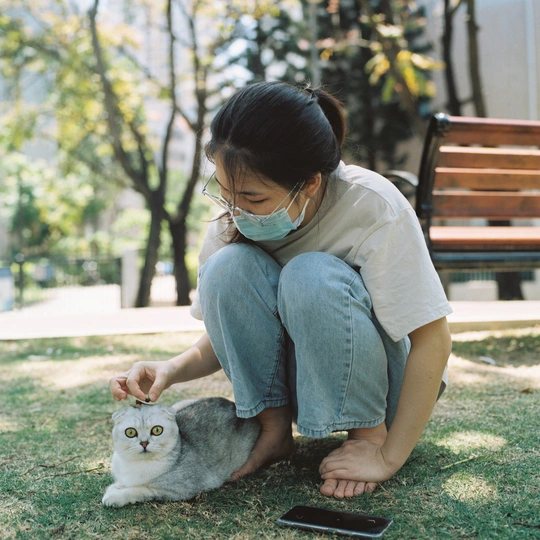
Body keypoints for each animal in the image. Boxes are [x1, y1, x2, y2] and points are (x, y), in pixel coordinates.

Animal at [102, 397, 260, 507]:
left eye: (157, 430)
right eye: (130, 432)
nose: (144, 443)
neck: (136, 464)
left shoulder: (176, 490)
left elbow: (139, 489)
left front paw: (114, 496)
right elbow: (122, 483)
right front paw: (115, 488)